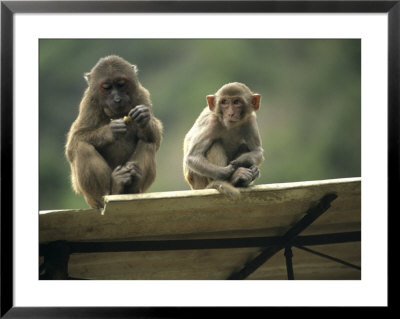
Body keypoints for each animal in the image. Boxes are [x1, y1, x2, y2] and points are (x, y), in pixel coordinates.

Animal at [65, 55, 162, 209]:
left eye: (121, 84)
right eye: (107, 88)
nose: (117, 99)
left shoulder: (141, 95)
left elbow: (156, 140)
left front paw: (144, 119)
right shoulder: (89, 102)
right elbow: (74, 142)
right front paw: (110, 131)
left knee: (148, 143)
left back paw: (132, 187)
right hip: (89, 197)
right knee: (82, 148)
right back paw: (112, 191)